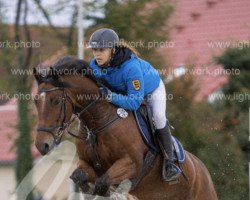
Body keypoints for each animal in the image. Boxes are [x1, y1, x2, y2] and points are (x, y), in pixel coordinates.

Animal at [33, 56, 217, 200]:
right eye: (35, 101)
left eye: (56, 101)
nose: (42, 145)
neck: (98, 124)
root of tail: (203, 170)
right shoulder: (86, 163)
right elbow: (79, 176)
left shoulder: (131, 164)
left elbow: (103, 182)